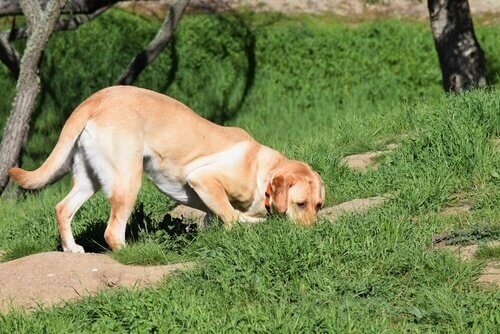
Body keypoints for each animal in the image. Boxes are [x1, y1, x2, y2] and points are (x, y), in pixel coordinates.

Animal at [10, 86, 328, 253]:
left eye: (319, 205)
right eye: (301, 204)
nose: (312, 234)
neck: (262, 170)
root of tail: (96, 98)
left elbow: (216, 218)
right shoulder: (204, 179)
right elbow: (231, 215)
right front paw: (249, 223)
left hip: (91, 179)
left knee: (62, 208)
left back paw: (71, 248)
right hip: (128, 180)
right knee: (112, 232)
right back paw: (132, 253)